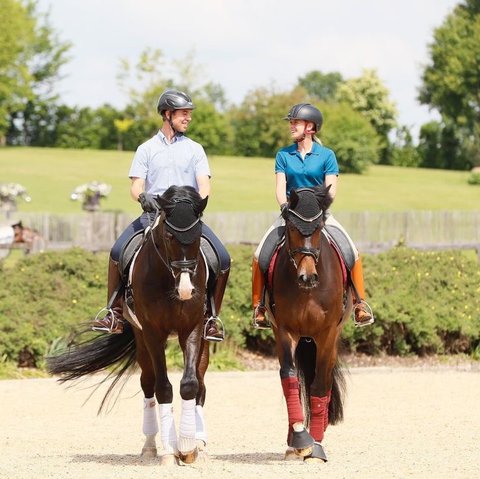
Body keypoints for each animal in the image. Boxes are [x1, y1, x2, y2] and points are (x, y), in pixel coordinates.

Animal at [47, 186, 211, 466]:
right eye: (169, 235)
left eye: (198, 234)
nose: (186, 290)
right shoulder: (153, 333)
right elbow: (162, 387)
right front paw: (170, 451)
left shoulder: (192, 328)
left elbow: (189, 384)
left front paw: (187, 447)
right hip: (141, 339)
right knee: (148, 383)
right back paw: (150, 446)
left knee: (200, 382)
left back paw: (198, 441)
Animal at [268, 186, 350, 464]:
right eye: (292, 228)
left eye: (318, 228)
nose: (307, 277)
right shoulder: (285, 331)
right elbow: (289, 378)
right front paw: (300, 438)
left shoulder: (326, 335)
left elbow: (319, 385)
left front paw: (315, 446)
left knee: (324, 380)